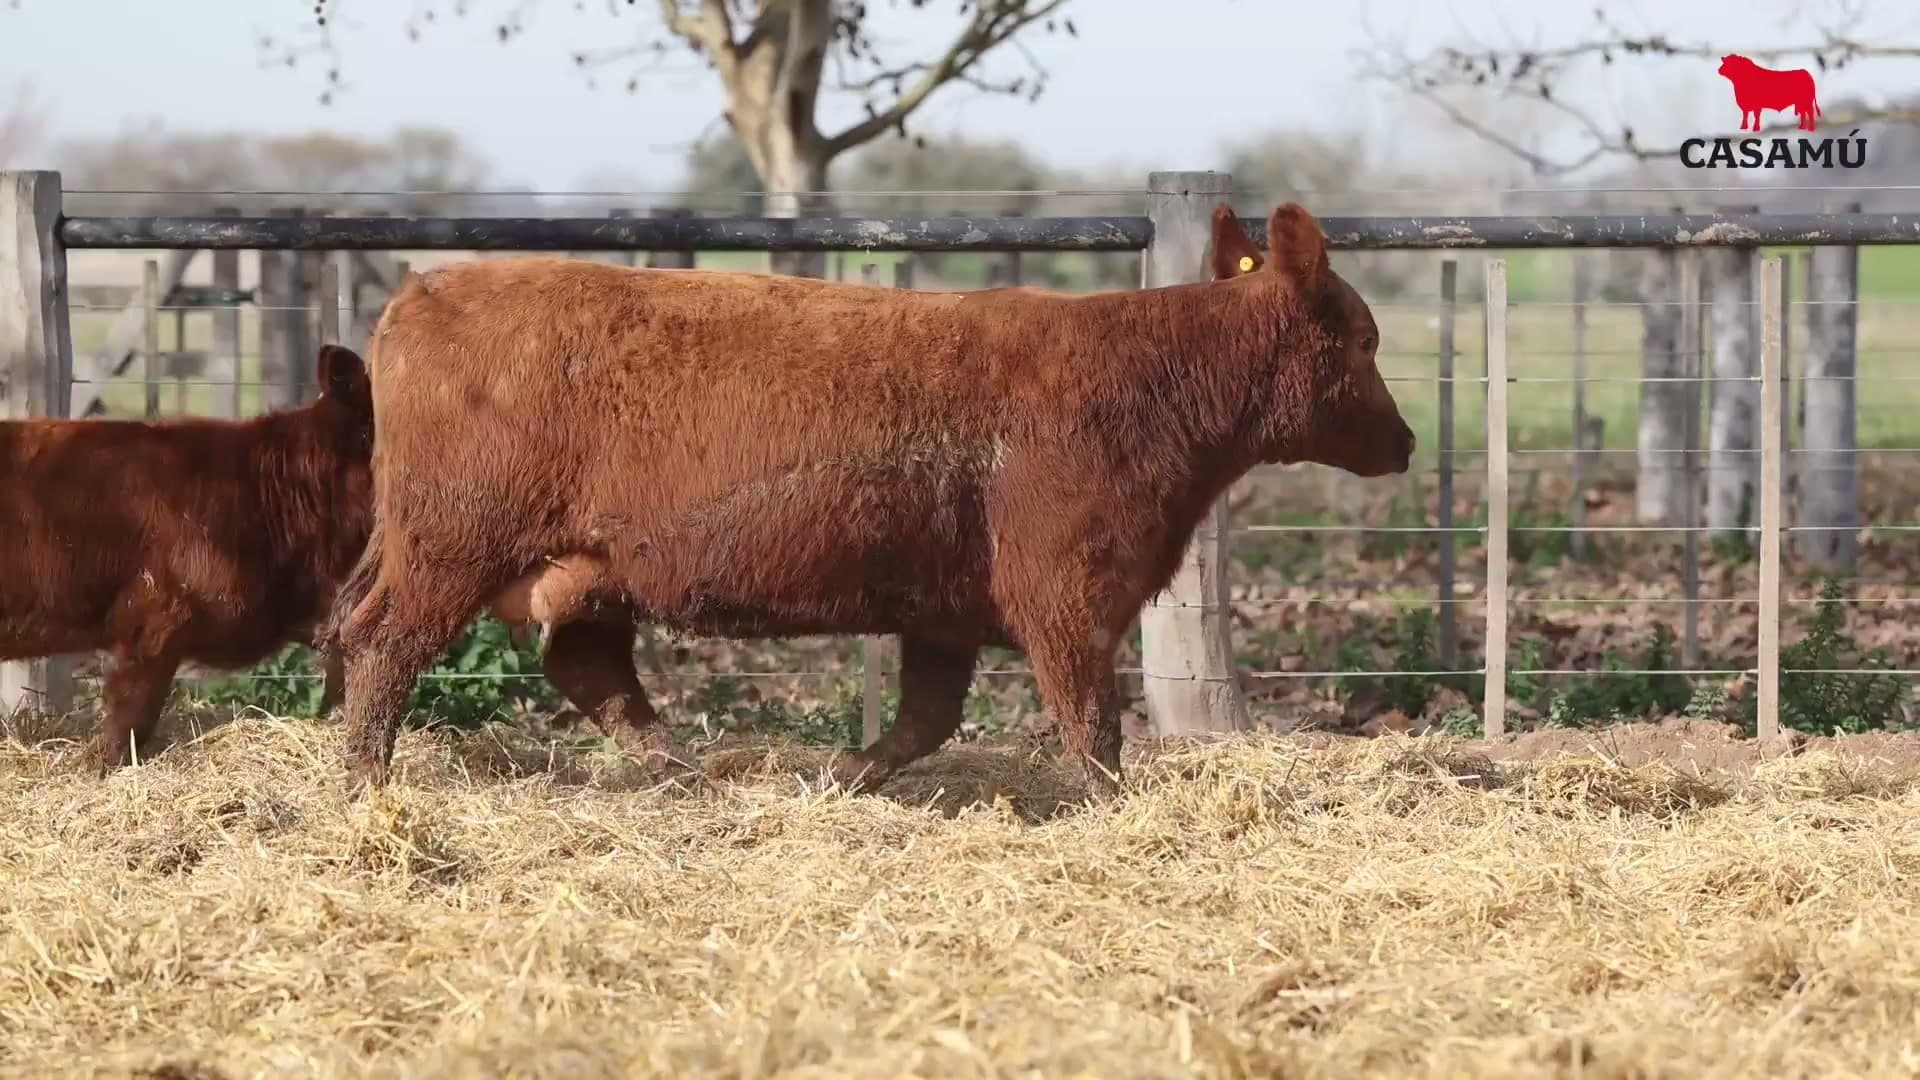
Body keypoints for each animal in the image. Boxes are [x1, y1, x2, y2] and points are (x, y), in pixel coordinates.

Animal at [324, 201, 1416, 797]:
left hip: (583, 572)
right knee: (383, 644)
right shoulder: (1068, 593)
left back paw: (685, 775)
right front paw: (1112, 808)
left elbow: (923, 722)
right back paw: (368, 782)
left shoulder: (947, 612)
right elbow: (1091, 723)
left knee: (587, 670)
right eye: (1362, 339)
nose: (1407, 442)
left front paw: (839, 777)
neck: (1150, 382)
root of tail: (421, 291)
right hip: (451, 547)